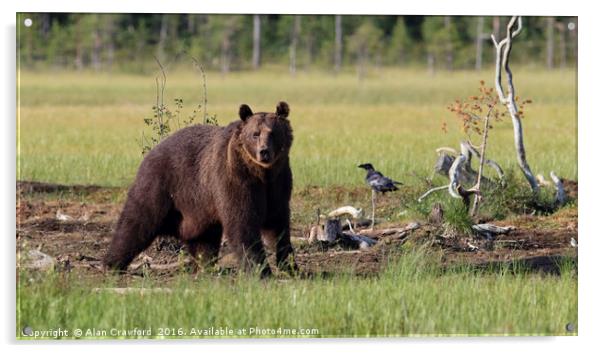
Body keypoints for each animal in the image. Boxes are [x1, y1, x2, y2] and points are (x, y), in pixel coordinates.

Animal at [106, 100, 298, 276]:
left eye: (273, 133)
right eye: (255, 134)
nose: (264, 152)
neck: (261, 173)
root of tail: (153, 150)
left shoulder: (278, 183)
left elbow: (278, 225)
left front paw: (290, 266)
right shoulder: (235, 179)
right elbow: (242, 223)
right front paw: (260, 270)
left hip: (198, 206)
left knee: (204, 237)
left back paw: (206, 264)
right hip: (161, 185)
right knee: (136, 222)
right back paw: (112, 263)